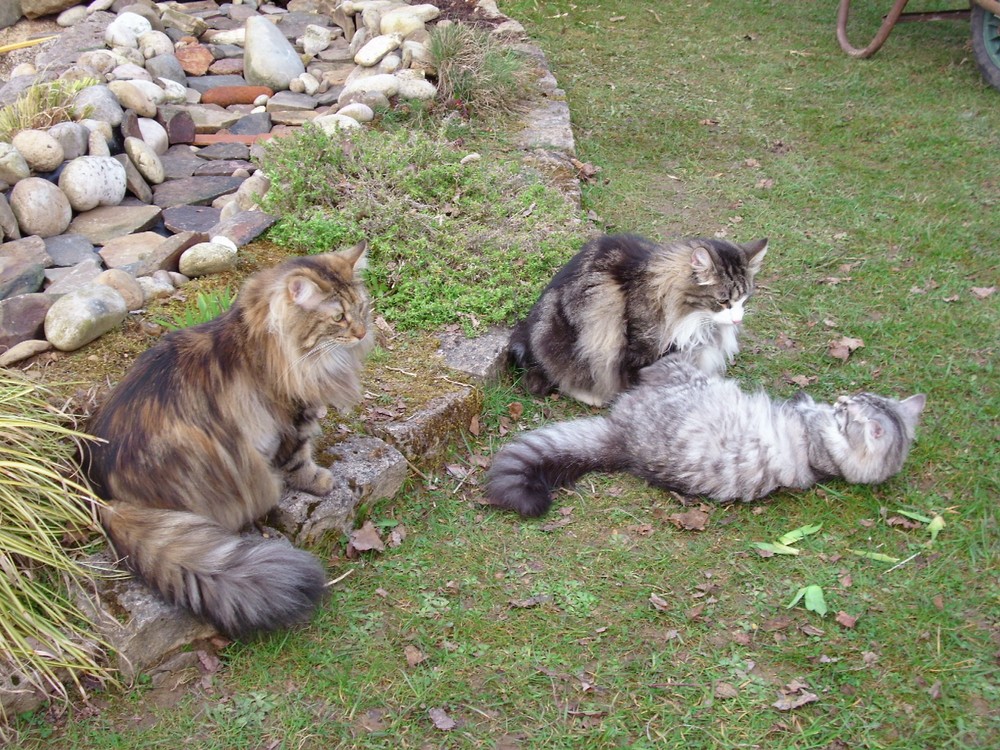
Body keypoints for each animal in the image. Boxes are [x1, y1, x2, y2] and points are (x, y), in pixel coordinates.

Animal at [82, 242, 376, 640]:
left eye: (361, 308)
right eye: (339, 318)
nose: (361, 332)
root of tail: (105, 499)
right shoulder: (290, 418)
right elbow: (299, 458)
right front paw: (319, 481)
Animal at [488, 356, 924, 520]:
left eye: (849, 413)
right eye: (852, 402)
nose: (842, 400)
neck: (829, 462)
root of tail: (624, 442)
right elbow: (801, 401)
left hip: (678, 381)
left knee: (657, 366)